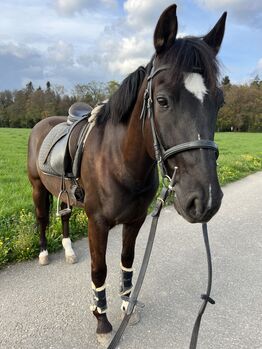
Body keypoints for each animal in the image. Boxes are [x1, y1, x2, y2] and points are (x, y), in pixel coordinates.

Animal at [28, 4, 225, 342]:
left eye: (219, 101)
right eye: (162, 100)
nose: (205, 199)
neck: (120, 162)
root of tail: (43, 123)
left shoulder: (135, 220)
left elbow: (127, 261)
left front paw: (125, 306)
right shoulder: (97, 223)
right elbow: (99, 270)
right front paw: (102, 320)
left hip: (63, 194)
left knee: (64, 216)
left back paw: (67, 250)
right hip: (37, 188)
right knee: (42, 219)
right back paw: (44, 254)